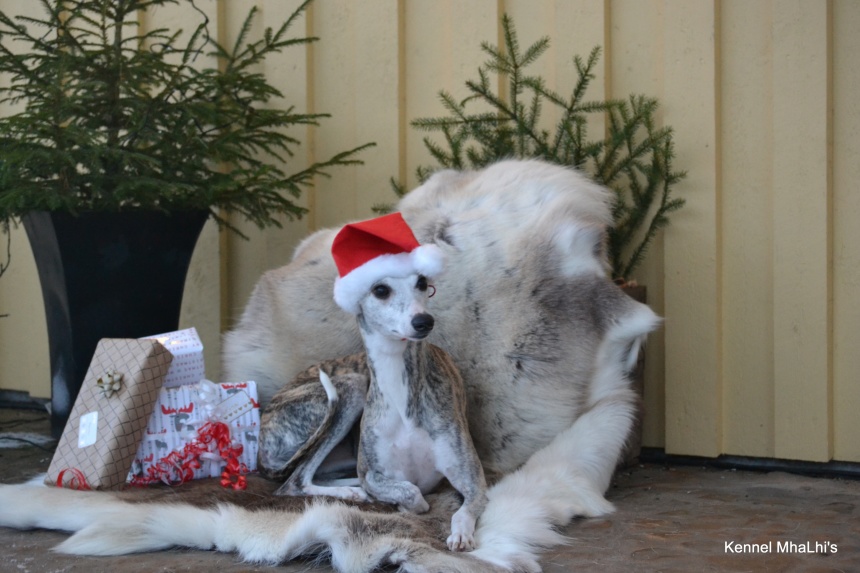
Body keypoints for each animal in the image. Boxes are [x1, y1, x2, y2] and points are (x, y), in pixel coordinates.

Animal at [0, 160, 660, 572]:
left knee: (307, 480)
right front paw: (400, 502)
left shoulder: (470, 477)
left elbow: (458, 504)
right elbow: (403, 493)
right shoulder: (385, 459)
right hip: (342, 395)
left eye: (425, 284)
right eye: (383, 289)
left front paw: (455, 528)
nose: (424, 322)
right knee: (297, 481)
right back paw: (347, 491)